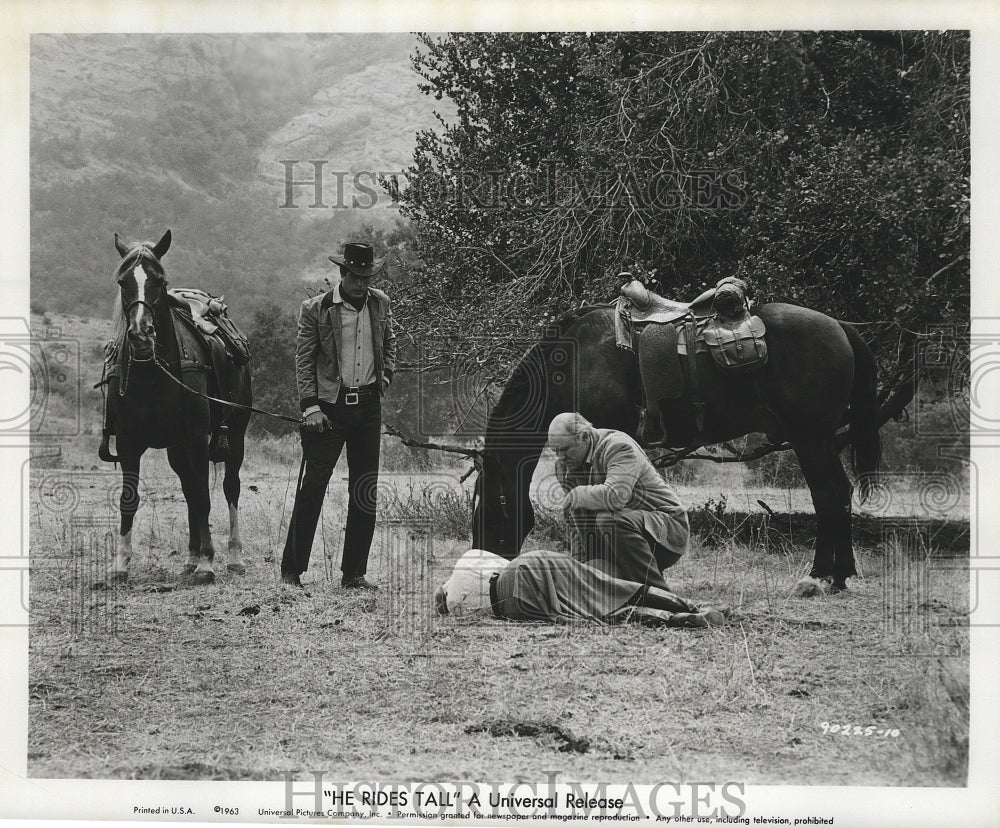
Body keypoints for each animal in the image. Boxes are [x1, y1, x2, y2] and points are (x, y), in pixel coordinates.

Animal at [100, 230, 254, 584]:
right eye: (122, 281)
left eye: (160, 281)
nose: (141, 334)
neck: (152, 375)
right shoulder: (128, 443)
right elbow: (130, 499)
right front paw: (120, 564)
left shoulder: (196, 437)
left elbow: (205, 496)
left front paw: (208, 563)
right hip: (176, 448)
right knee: (188, 489)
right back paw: (191, 556)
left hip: (235, 433)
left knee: (230, 487)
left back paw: (233, 556)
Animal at [472, 304, 880, 596]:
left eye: (490, 508)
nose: (483, 561)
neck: (572, 361)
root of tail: (840, 326)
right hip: (817, 439)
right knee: (839, 493)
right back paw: (839, 575)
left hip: (810, 438)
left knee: (828, 495)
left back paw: (819, 576)